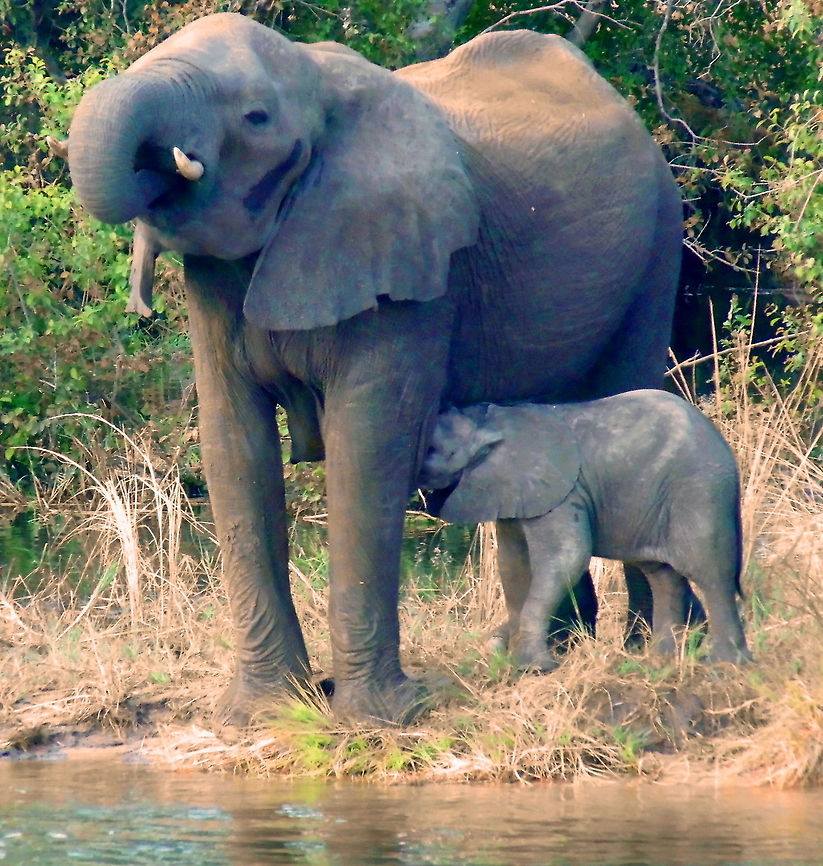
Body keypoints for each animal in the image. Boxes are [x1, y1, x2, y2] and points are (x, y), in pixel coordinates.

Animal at [61, 12, 685, 725]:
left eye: (255, 118)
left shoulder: (412, 267)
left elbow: (367, 446)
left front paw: (378, 718)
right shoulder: (215, 284)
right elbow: (234, 448)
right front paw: (261, 714)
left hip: (659, 241)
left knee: (626, 393)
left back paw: (643, 654)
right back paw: (544, 656)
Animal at [419, 390, 752, 669]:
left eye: (432, 450)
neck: (488, 421)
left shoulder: (563, 494)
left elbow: (566, 558)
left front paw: (535, 668)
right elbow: (512, 564)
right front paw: (507, 652)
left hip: (700, 491)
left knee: (710, 572)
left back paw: (722, 664)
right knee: (662, 574)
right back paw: (661, 660)